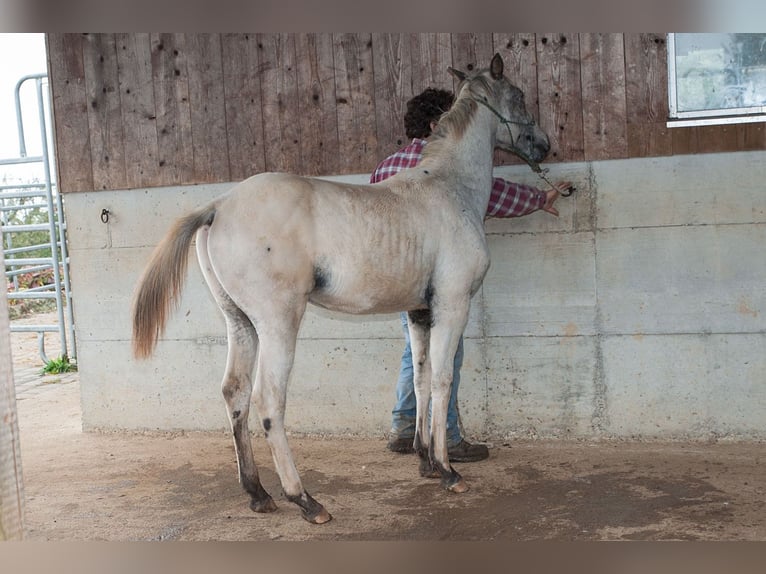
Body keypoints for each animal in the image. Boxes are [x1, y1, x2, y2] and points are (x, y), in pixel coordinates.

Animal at [132, 54, 552, 528]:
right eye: (519, 95)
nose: (543, 146)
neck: (449, 187)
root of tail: (218, 206)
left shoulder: (419, 313)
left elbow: (421, 379)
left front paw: (425, 460)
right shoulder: (452, 305)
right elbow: (443, 380)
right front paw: (448, 471)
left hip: (240, 323)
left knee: (234, 392)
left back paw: (258, 493)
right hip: (278, 324)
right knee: (268, 400)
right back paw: (305, 500)